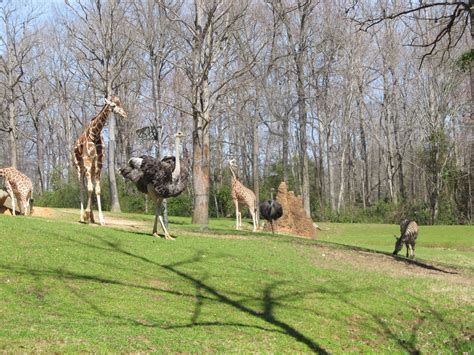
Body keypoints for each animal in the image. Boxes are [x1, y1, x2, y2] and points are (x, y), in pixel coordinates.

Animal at [72, 96, 128, 225]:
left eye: (120, 103)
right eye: (113, 105)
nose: (124, 114)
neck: (95, 134)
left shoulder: (99, 164)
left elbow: (96, 189)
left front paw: (100, 219)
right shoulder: (87, 162)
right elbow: (89, 188)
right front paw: (86, 216)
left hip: (91, 169)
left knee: (89, 187)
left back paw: (91, 217)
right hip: (79, 167)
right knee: (82, 187)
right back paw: (82, 217)